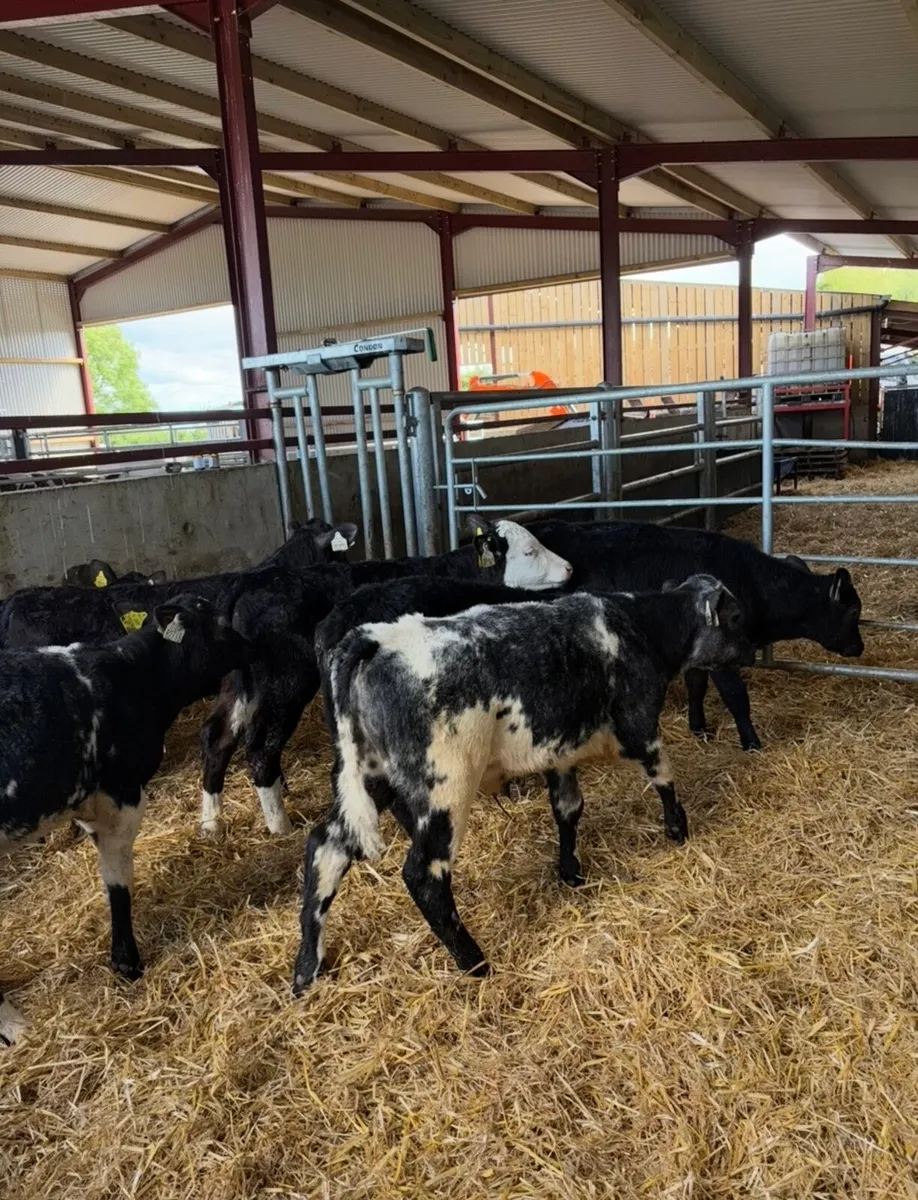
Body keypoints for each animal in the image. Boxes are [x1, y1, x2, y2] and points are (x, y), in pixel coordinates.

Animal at [0, 596, 253, 1047]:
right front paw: (126, 962)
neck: (135, 678)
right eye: (223, 625)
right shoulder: (122, 796)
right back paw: (15, 1026)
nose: (253, 646)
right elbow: (118, 882)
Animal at [292, 576, 753, 993]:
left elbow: (568, 808)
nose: (750, 651)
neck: (642, 627)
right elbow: (664, 777)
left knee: (327, 847)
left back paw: (307, 968)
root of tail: (373, 639)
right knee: (424, 875)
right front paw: (678, 828)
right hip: (445, 787)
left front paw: (570, 871)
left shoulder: (559, 750)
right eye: (734, 616)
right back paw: (474, 962)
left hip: (371, 776)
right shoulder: (640, 728)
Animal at [524, 519, 863, 750]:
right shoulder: (725, 654)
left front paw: (699, 728)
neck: (750, 582)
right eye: (853, 612)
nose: (859, 648)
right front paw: (752, 743)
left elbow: (696, 687)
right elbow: (736, 697)